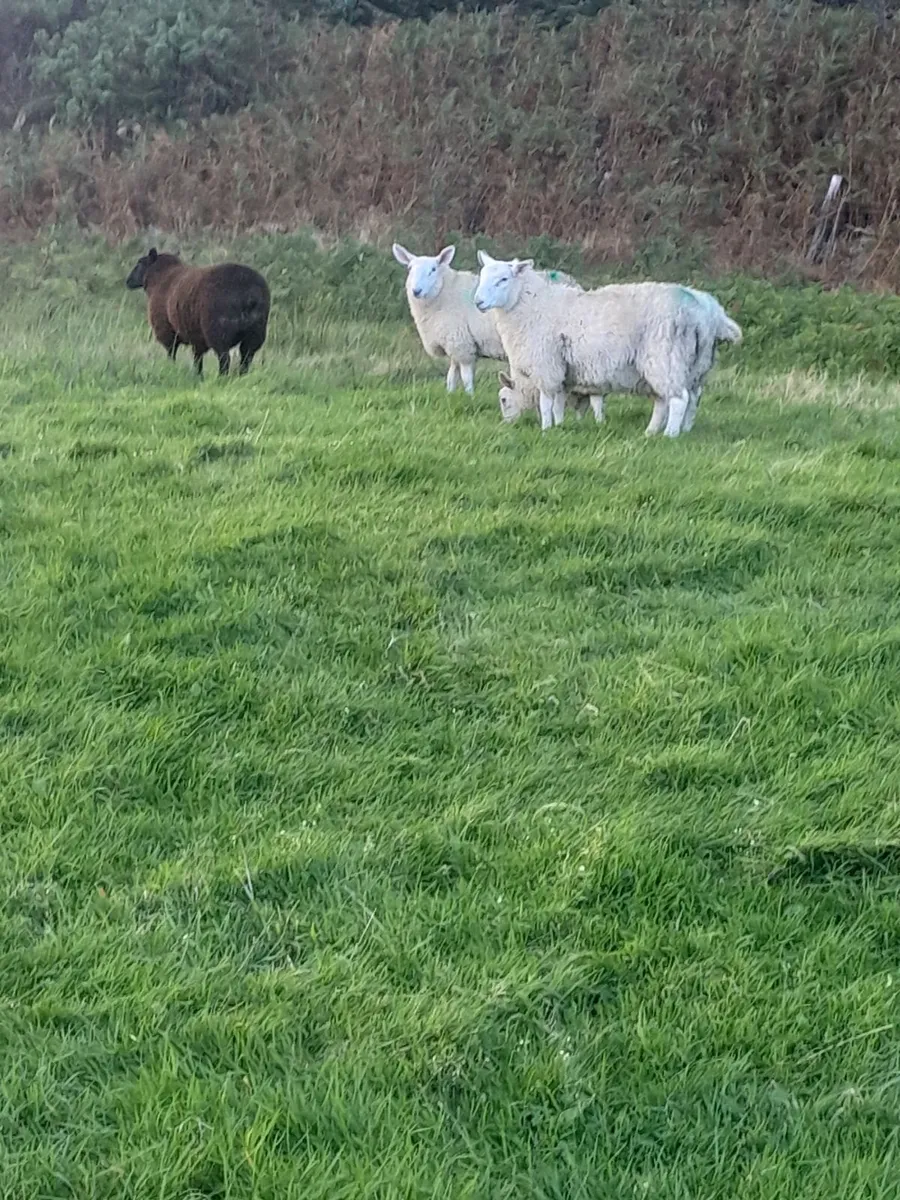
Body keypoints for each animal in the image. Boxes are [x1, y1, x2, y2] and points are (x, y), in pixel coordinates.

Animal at [125, 248, 270, 377]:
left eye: (140, 263)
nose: (128, 282)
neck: (158, 277)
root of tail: (249, 295)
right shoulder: (196, 335)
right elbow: (197, 358)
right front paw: (198, 375)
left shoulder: (167, 332)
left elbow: (172, 354)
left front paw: (171, 369)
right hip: (255, 332)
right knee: (246, 357)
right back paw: (242, 377)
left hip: (219, 331)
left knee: (225, 359)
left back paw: (222, 378)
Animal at [391, 243, 579, 394]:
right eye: (410, 269)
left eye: (433, 270)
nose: (416, 290)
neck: (444, 293)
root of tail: (572, 282)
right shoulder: (456, 344)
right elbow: (452, 375)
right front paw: (450, 394)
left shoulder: (462, 345)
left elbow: (466, 376)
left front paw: (469, 396)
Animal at [474, 251, 742, 436]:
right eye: (482, 277)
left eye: (503, 279)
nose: (478, 302)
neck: (530, 305)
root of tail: (708, 312)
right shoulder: (562, 371)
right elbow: (559, 403)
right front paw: (559, 426)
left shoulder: (546, 365)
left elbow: (546, 402)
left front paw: (546, 429)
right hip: (695, 365)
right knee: (688, 399)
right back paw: (663, 431)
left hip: (666, 358)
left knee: (678, 400)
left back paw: (670, 434)